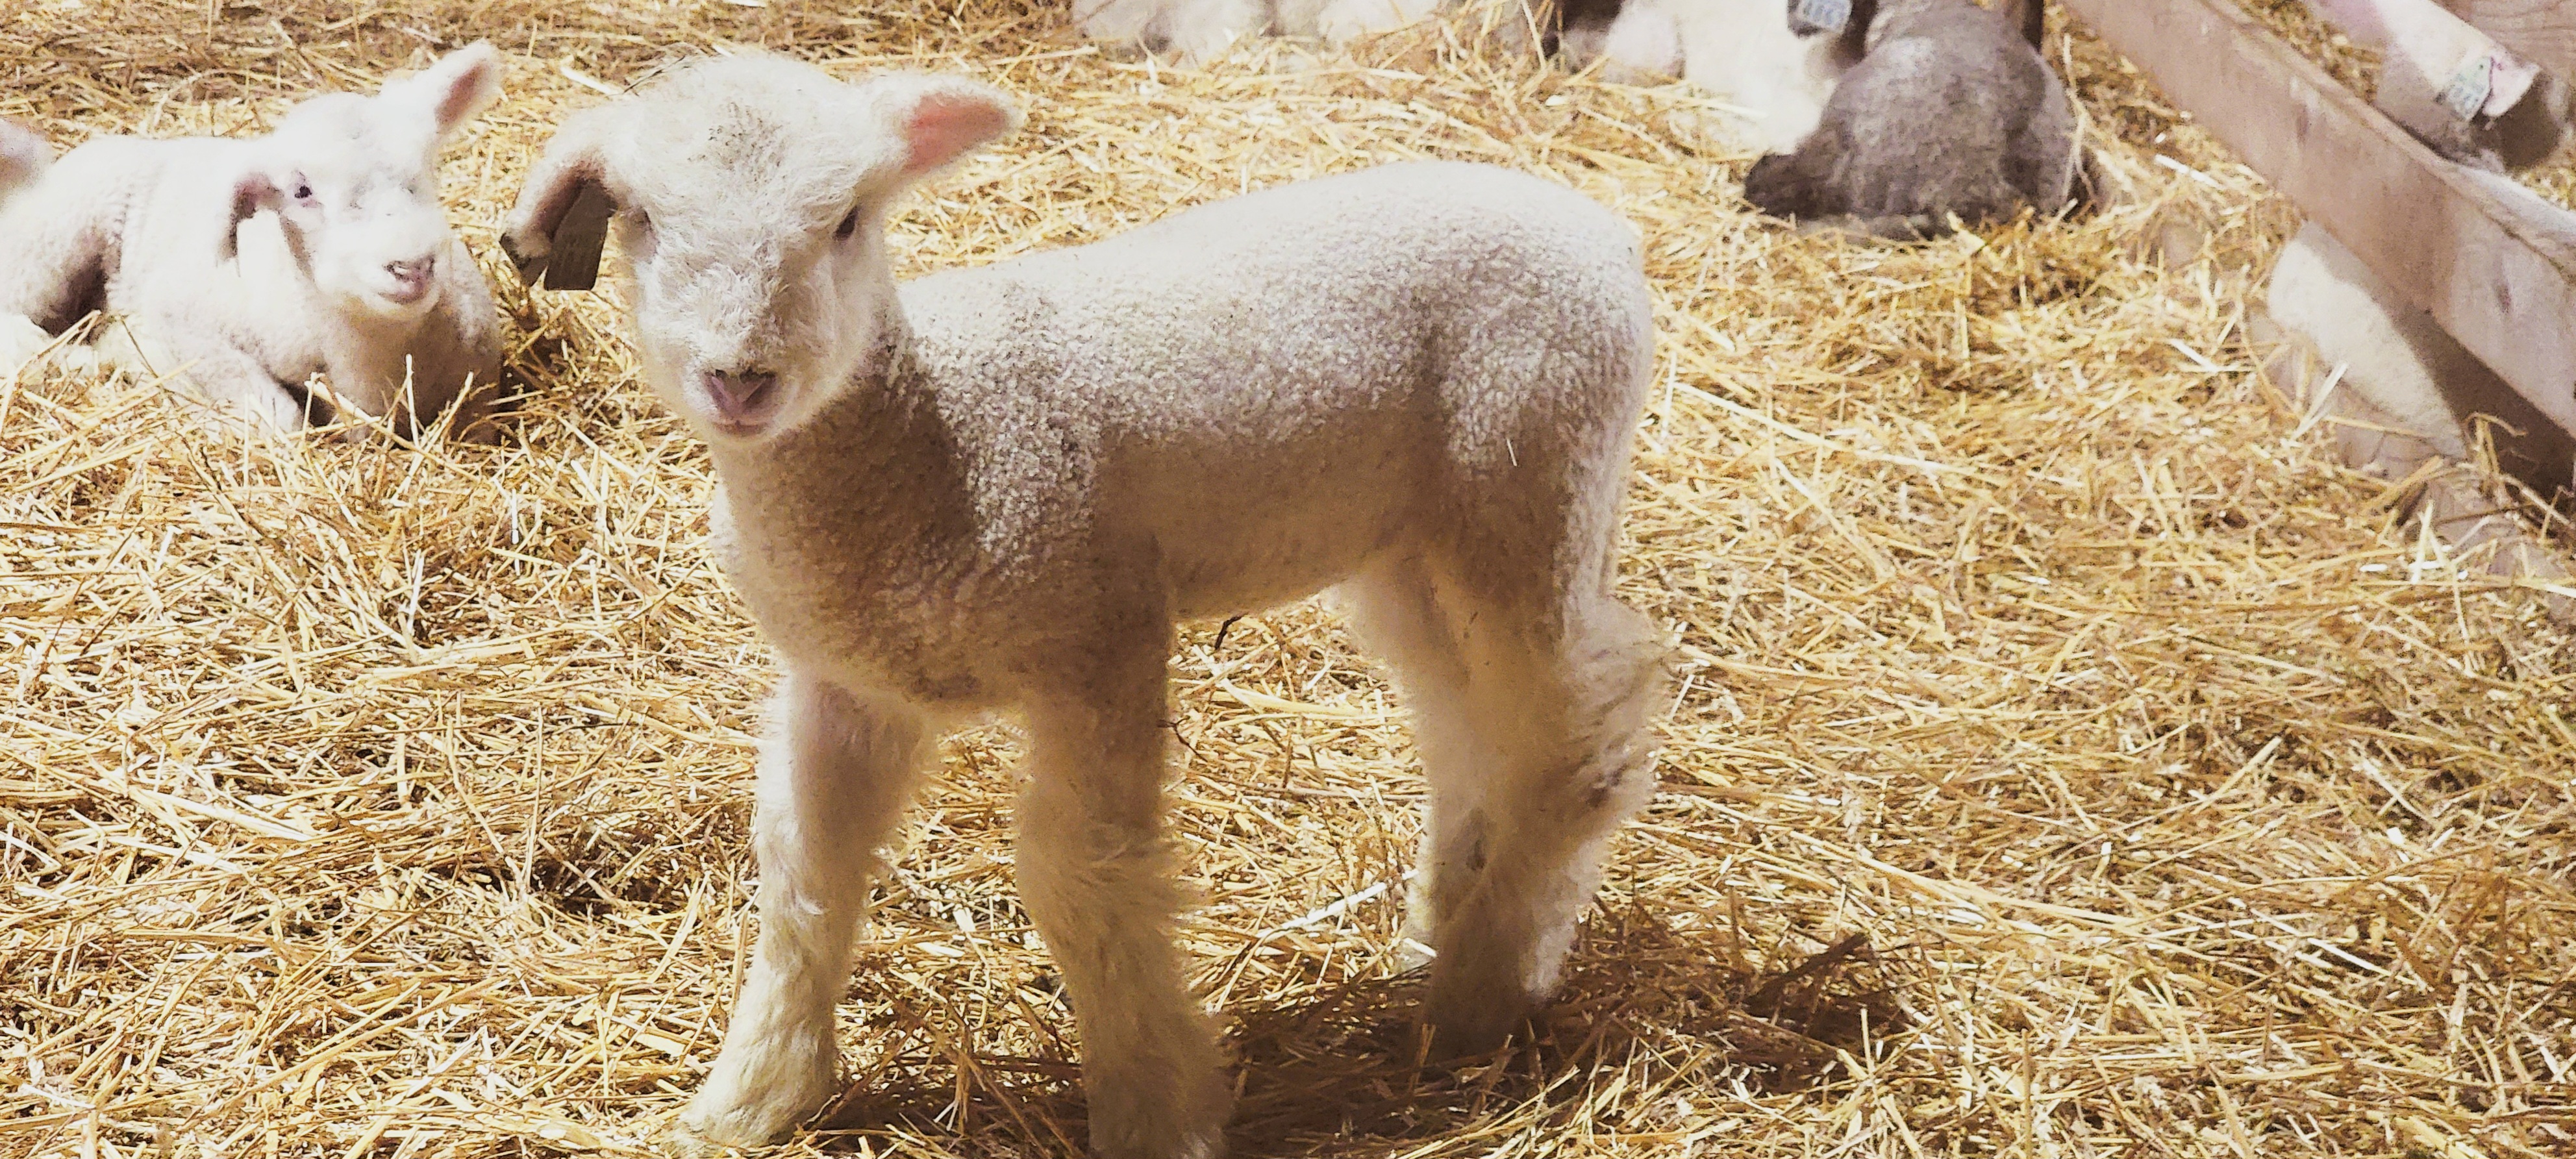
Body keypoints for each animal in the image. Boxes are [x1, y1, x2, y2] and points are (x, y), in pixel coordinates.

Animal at [0, 44, 508, 441]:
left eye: (427, 163)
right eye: (301, 191)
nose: (411, 265)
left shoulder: (479, 381)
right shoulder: (184, 316)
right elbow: (279, 419)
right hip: (51, 243)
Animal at [500, 53, 1666, 1157]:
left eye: (847, 220)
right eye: (643, 221)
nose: (742, 379)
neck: (928, 438)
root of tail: (1603, 229)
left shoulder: (1097, 633)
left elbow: (1081, 878)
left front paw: (1155, 1107)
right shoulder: (846, 679)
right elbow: (803, 877)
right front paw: (751, 1095)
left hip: (1529, 476)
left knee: (1581, 725)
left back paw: (1482, 990)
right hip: (1414, 546)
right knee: (1470, 727)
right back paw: (1449, 932)